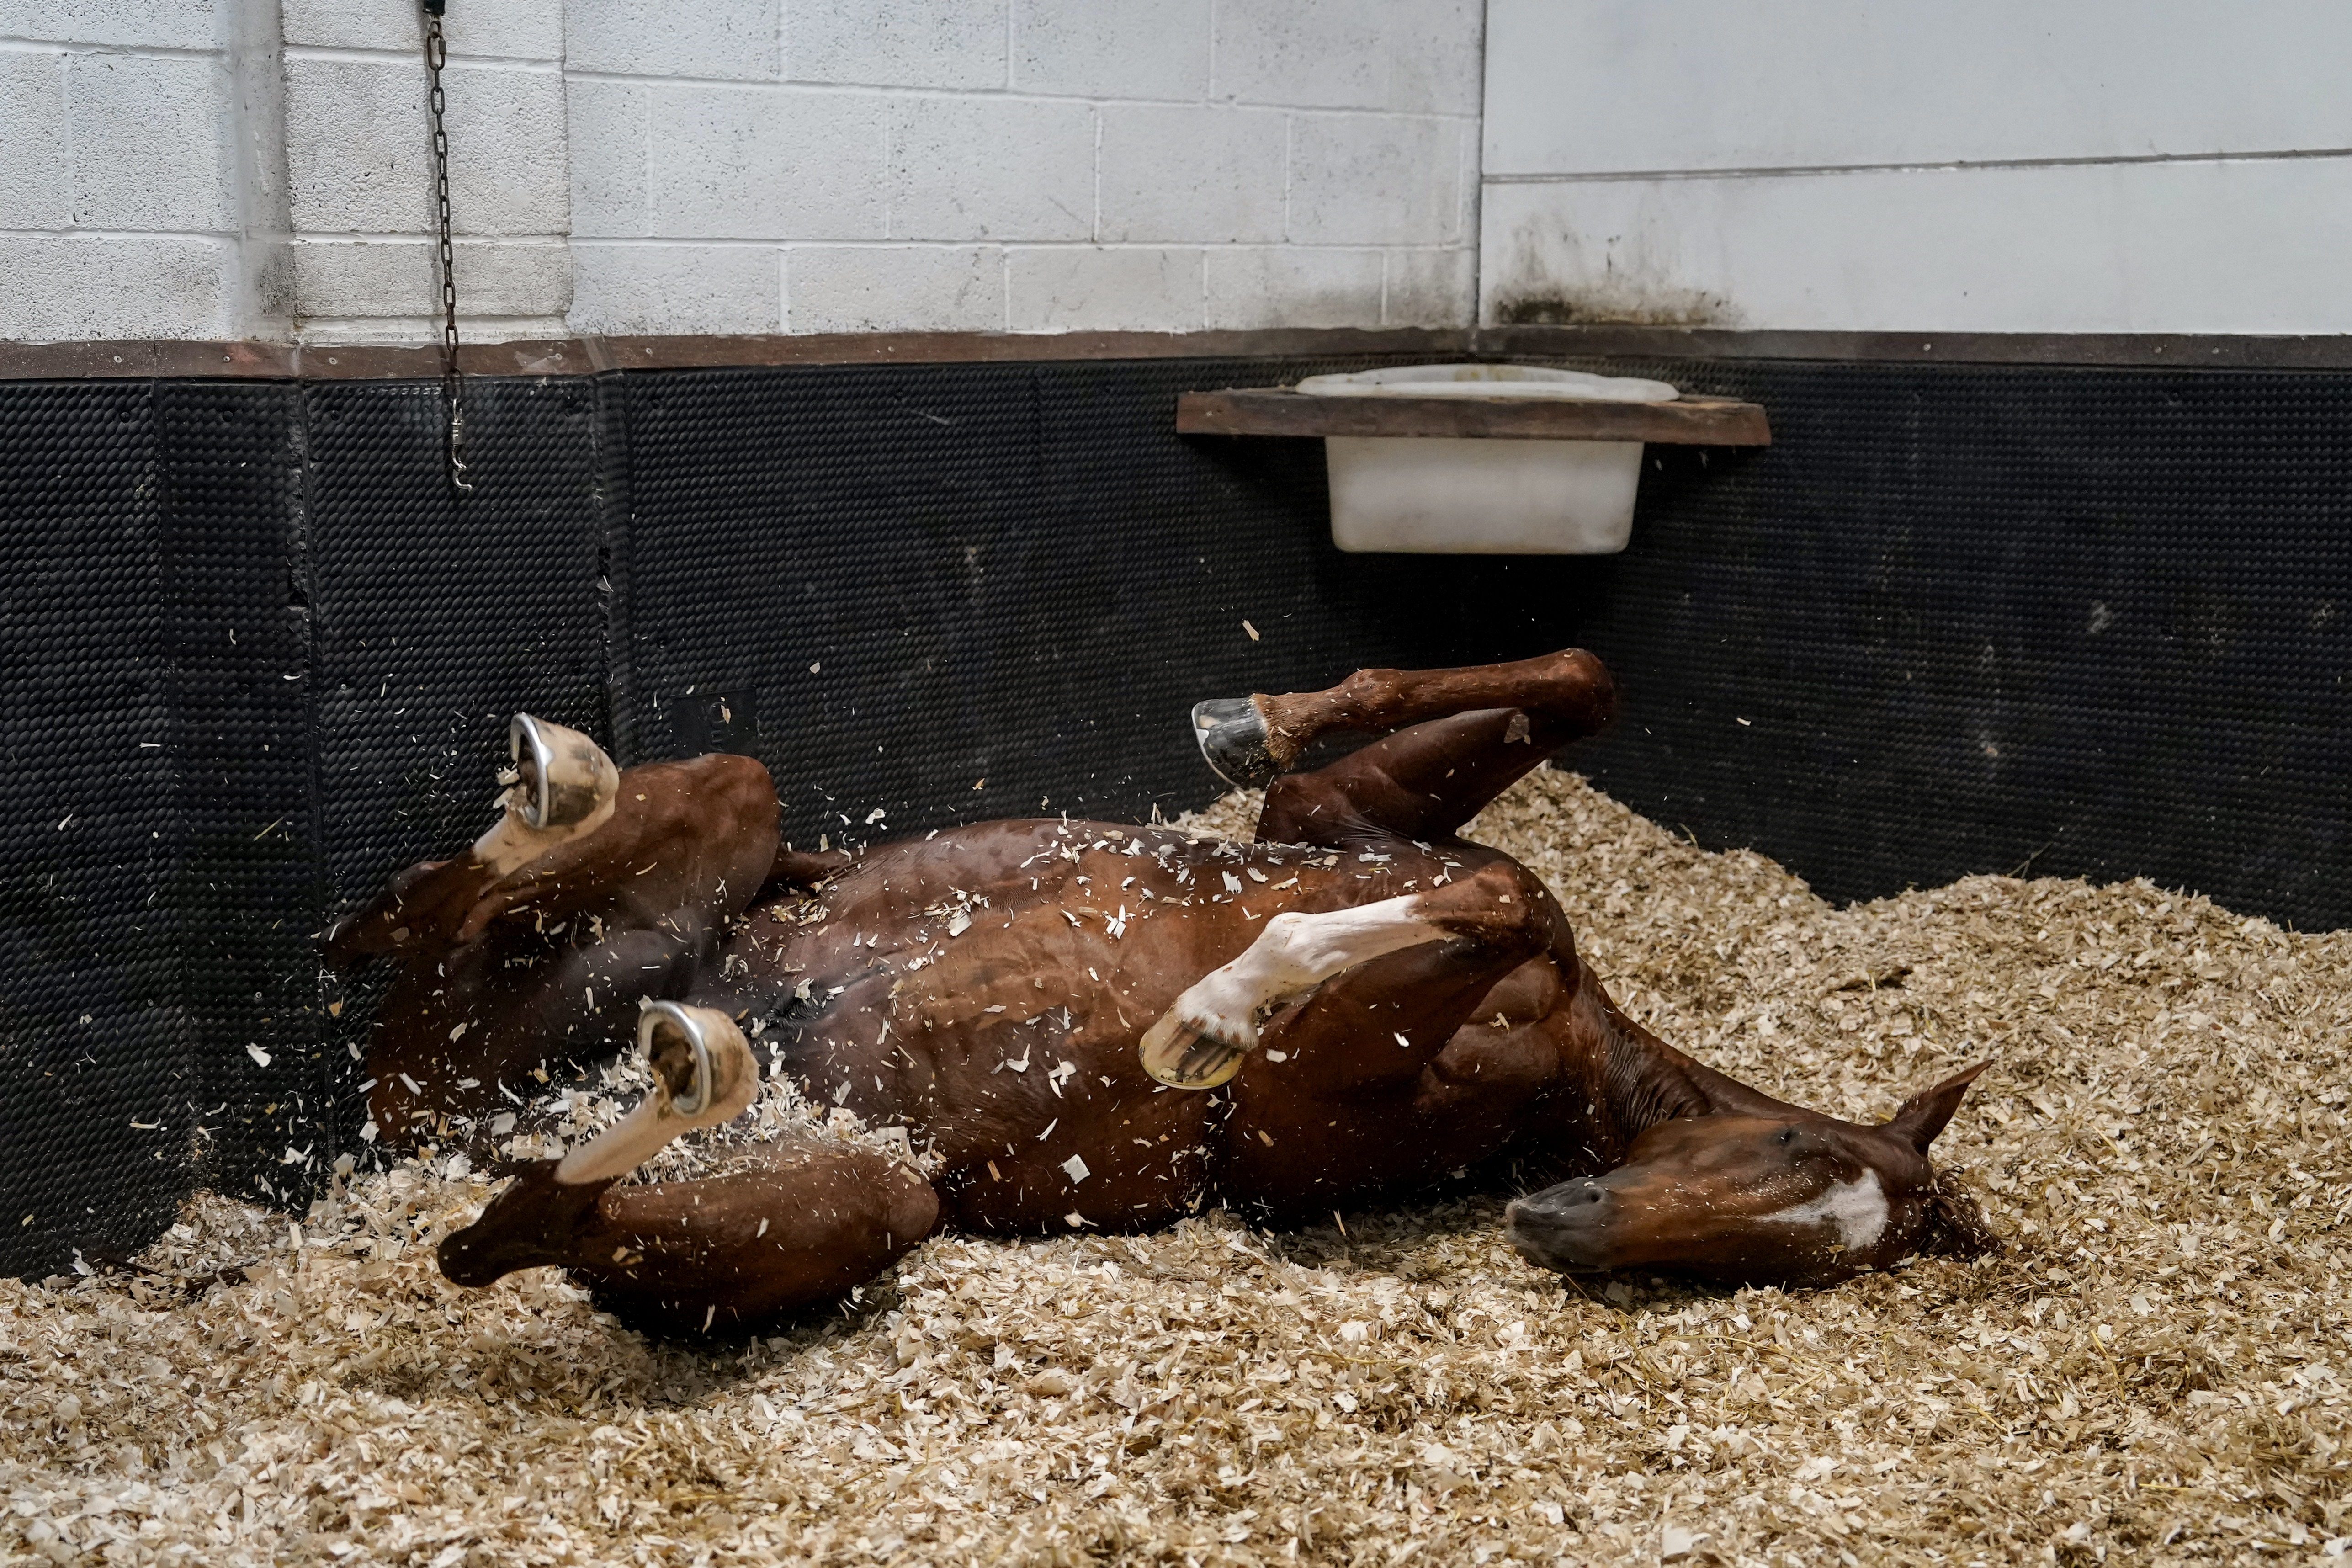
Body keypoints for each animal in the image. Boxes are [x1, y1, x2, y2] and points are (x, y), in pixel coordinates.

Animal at [327, 654, 1985, 1335]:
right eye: (1793, 1153)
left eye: (1784, 1260)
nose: (1558, 1222)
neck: (1578, 1054)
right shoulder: (1331, 821)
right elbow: (1563, 700)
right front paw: (1248, 725)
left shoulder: (1329, 1094)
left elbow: (1497, 891)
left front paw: (1215, 1013)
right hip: (717, 830)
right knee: (476, 912)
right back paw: (529, 809)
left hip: (862, 1187)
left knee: (536, 1222)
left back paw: (632, 1097)